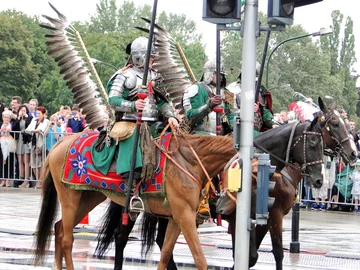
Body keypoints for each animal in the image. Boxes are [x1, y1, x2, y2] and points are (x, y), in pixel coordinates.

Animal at [33, 118, 324, 270]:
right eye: (312, 142)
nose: (319, 179)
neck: (193, 160)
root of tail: (59, 143)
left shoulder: (176, 218)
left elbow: (164, 257)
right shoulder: (185, 217)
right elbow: (201, 260)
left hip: (89, 197)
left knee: (59, 230)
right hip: (70, 197)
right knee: (69, 238)